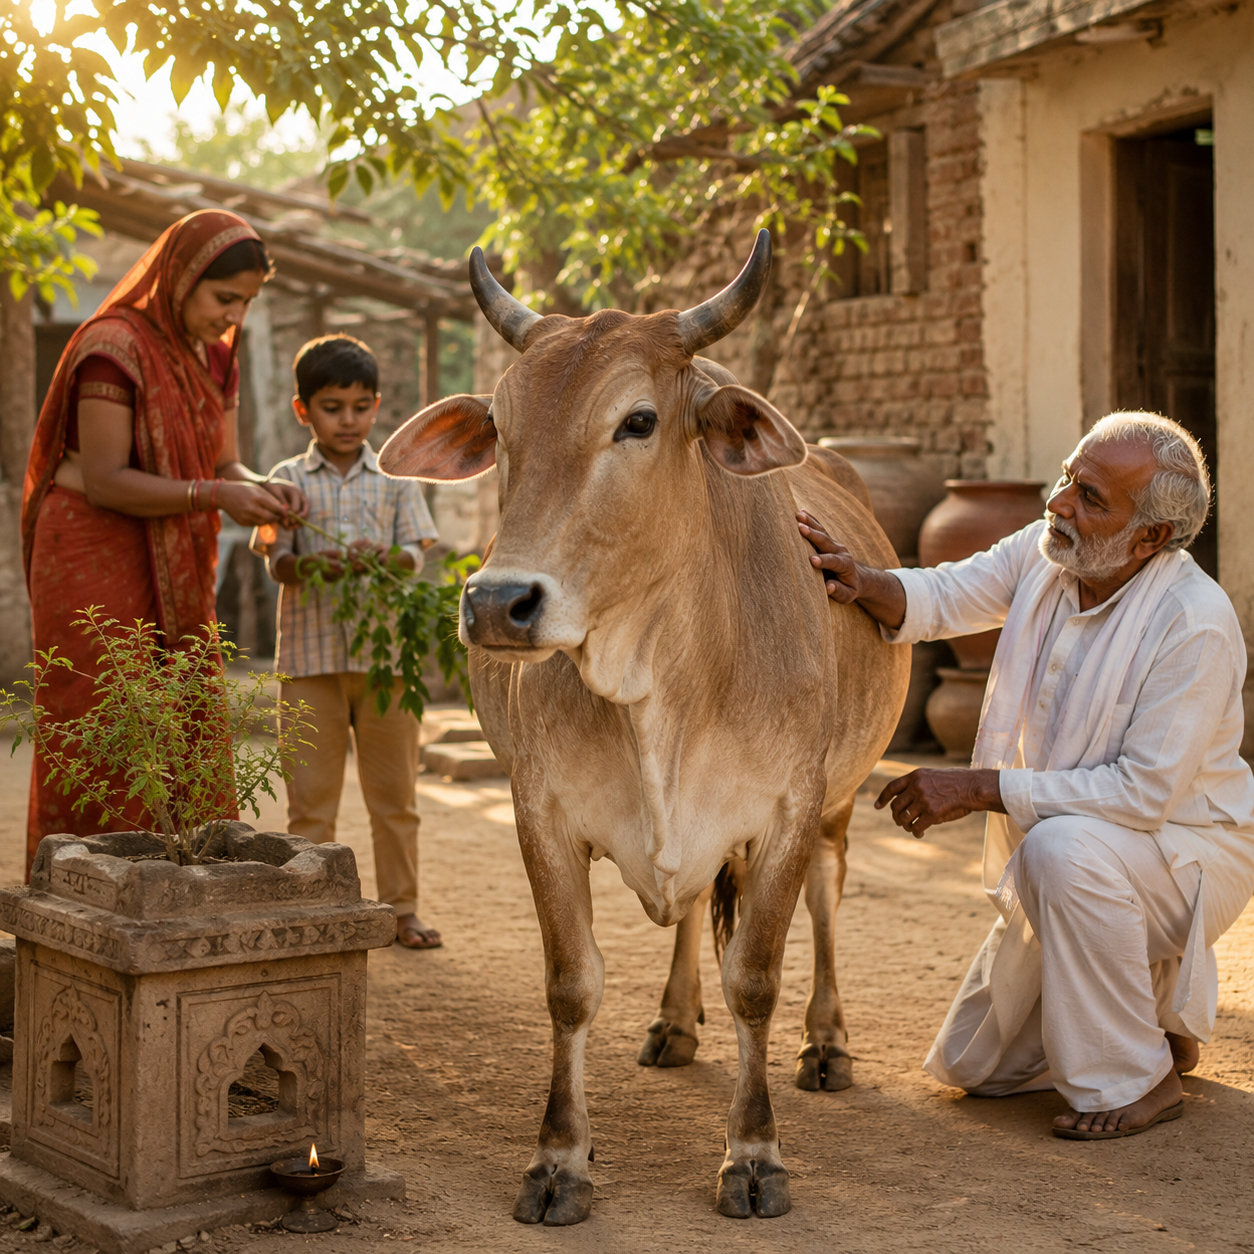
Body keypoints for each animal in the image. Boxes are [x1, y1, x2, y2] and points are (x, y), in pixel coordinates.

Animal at [379, 231, 910, 1224]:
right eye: (500, 427)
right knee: (692, 904)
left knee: (826, 899)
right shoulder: (541, 813)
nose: (497, 603)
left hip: (839, 802)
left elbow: (755, 979)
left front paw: (754, 1156)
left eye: (637, 421)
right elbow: (571, 984)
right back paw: (672, 1021)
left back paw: (827, 1042)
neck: (658, 685)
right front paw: (559, 1161)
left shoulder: (787, 810)